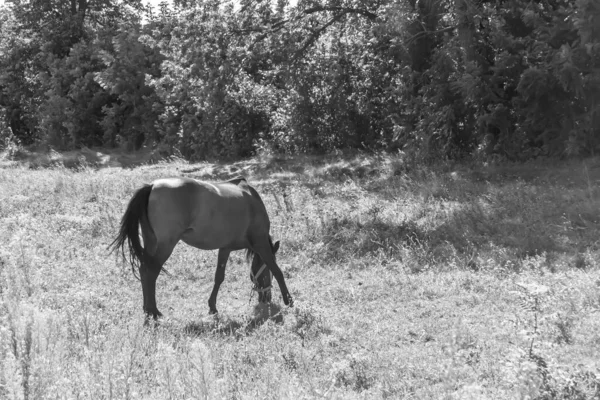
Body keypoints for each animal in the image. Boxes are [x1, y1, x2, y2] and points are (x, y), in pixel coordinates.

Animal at [110, 177, 296, 320]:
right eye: (265, 274)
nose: (266, 298)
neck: (251, 201)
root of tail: (152, 186)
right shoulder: (260, 244)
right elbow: (277, 270)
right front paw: (289, 300)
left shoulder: (225, 248)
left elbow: (219, 277)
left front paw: (212, 306)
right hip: (166, 245)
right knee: (151, 272)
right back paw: (153, 311)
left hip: (152, 242)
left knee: (144, 270)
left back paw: (147, 309)